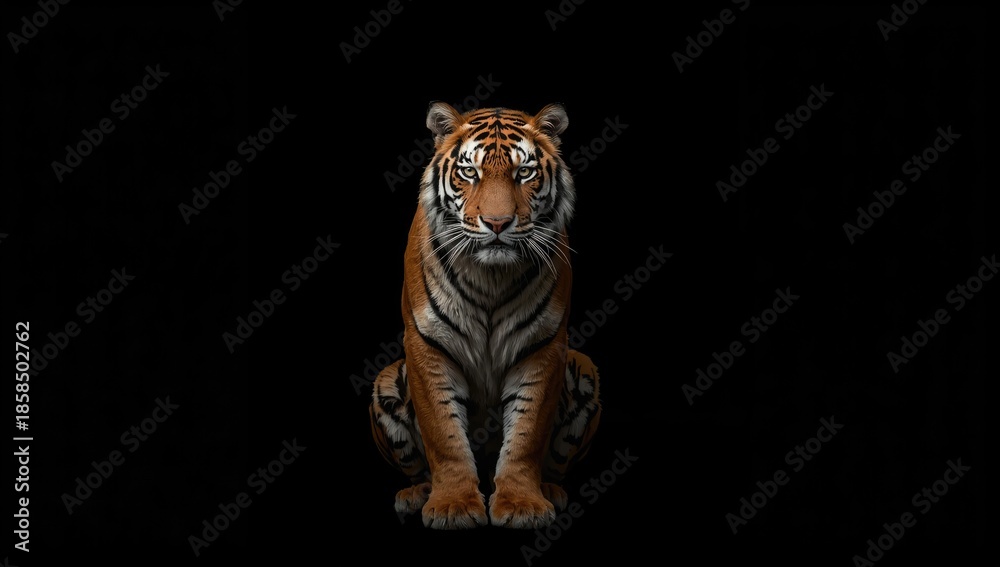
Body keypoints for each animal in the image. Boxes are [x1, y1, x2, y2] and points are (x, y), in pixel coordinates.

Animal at [369, 102, 601, 529]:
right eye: (469, 172)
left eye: (523, 173)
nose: (496, 223)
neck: (491, 276)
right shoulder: (427, 345)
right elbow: (443, 434)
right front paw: (453, 505)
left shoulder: (545, 346)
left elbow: (526, 434)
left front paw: (522, 504)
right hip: (387, 379)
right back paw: (415, 494)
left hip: (584, 366)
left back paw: (552, 490)